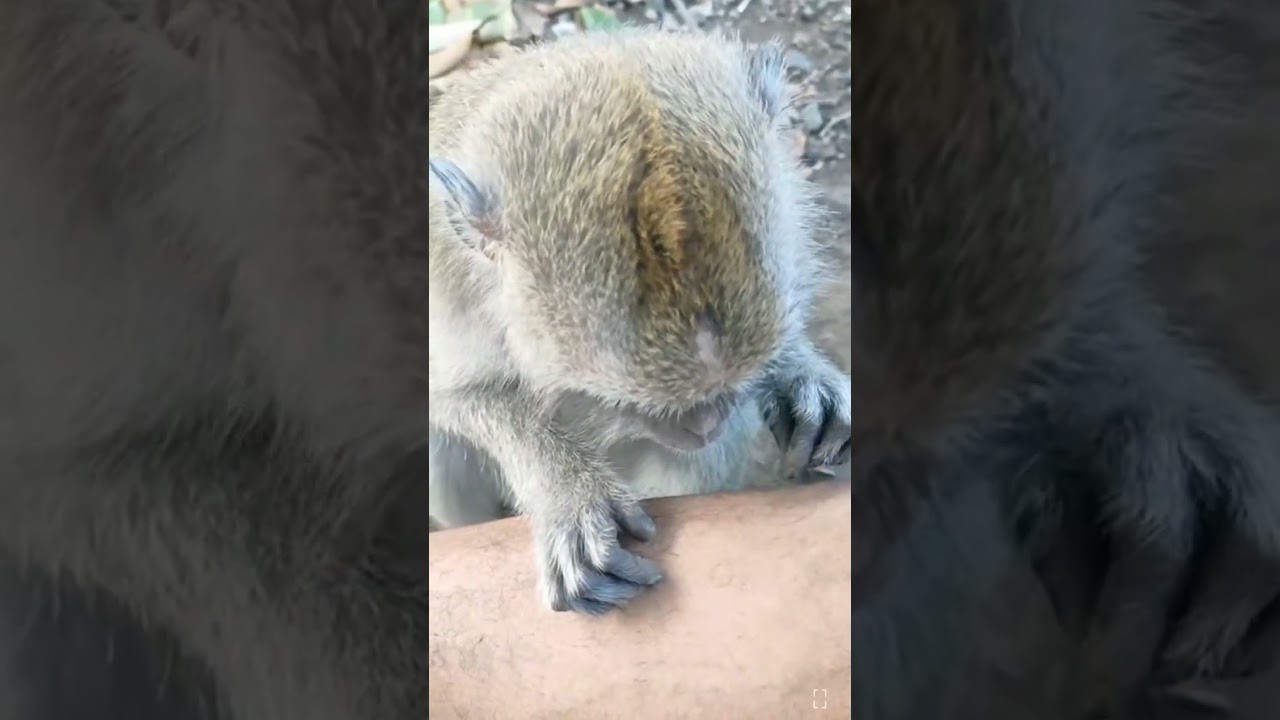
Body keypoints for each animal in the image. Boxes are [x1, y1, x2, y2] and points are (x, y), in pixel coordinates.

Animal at [426, 30, 854, 613]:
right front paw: (567, 488)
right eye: (619, 402)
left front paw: (801, 374)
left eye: (727, 388)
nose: (704, 423)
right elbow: (450, 401)